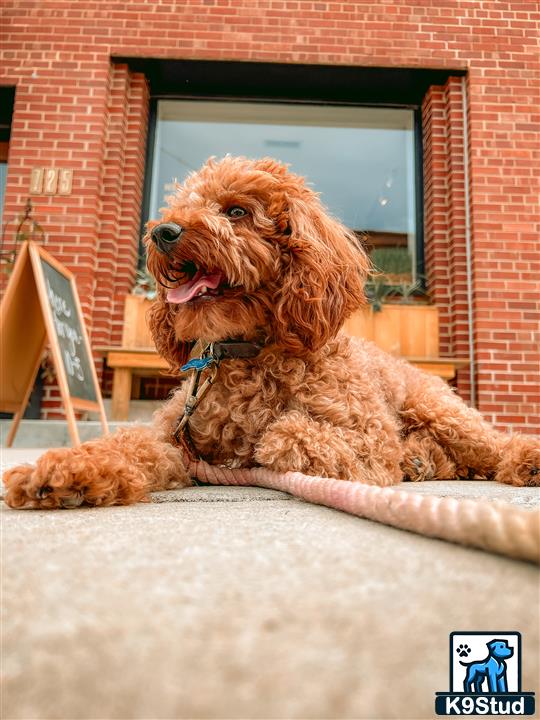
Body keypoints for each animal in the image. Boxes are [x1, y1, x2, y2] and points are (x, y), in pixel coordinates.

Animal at [5, 156, 540, 512]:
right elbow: (128, 446)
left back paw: (519, 461)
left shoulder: (369, 438)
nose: (164, 233)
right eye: (181, 205)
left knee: (490, 445)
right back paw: (423, 462)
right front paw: (64, 473)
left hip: (437, 408)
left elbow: (282, 435)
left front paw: (264, 443)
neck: (243, 351)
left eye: (236, 211)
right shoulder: (173, 438)